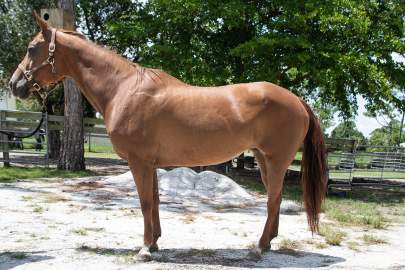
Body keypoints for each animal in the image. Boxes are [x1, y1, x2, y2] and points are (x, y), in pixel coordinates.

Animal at [8, 13, 326, 262]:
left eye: (32, 48)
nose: (14, 84)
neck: (123, 89)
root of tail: (297, 100)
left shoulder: (139, 162)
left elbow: (145, 202)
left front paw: (144, 248)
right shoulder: (151, 163)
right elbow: (156, 200)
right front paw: (156, 242)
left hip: (275, 160)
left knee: (272, 200)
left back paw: (259, 247)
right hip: (263, 159)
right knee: (276, 197)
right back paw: (269, 242)